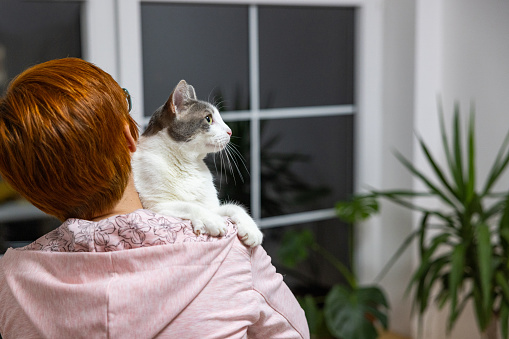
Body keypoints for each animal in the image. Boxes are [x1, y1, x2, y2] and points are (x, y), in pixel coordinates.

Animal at [132, 79, 262, 247]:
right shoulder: (156, 205)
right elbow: (189, 205)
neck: (187, 165)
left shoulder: (212, 206)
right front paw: (213, 220)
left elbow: (234, 207)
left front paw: (251, 229)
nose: (230, 131)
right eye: (208, 119)